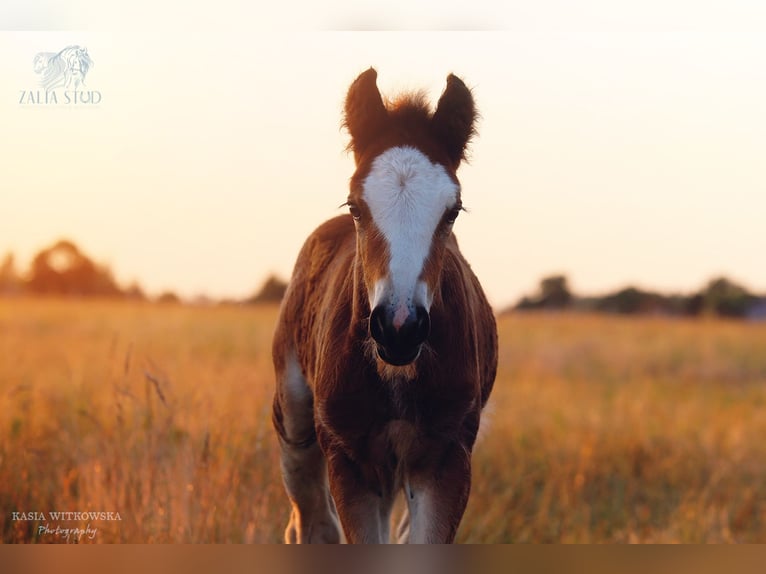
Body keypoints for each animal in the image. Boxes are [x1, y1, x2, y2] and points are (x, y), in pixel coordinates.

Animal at [271, 68, 498, 544]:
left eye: (452, 211)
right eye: (356, 206)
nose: (399, 328)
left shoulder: (445, 458)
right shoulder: (350, 459)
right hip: (296, 419)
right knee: (312, 521)